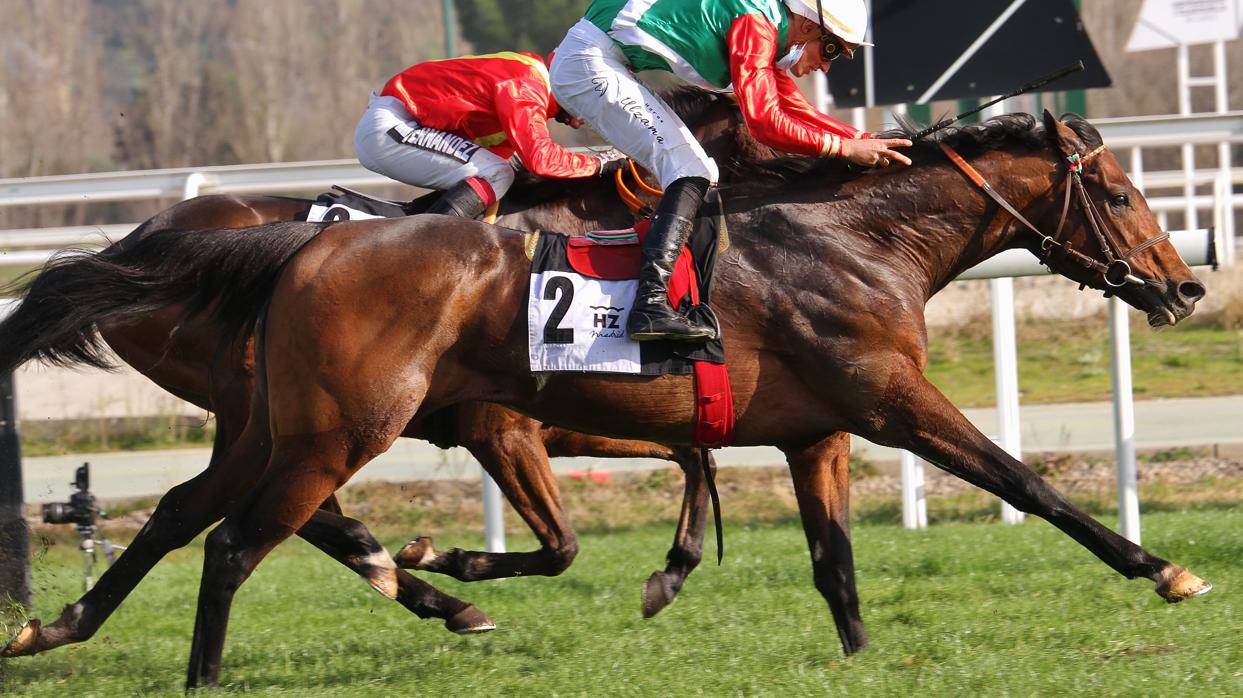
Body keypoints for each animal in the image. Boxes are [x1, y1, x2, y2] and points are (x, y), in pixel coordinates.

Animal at [2, 88, 765, 655]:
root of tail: (141, 240)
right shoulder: (506, 429)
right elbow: (566, 539)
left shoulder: (574, 416)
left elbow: (691, 453)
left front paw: (672, 572)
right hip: (301, 414)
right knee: (273, 511)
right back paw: (415, 583)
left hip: (261, 415)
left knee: (190, 508)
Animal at [155, 111, 1203, 680]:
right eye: (1117, 194)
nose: (1184, 285)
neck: (857, 243)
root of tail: (308, 244)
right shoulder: (891, 401)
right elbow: (1028, 484)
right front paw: (1163, 570)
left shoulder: (817, 434)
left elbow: (834, 565)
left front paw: (858, 656)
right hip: (337, 433)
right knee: (235, 547)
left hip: (276, 429)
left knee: (192, 517)